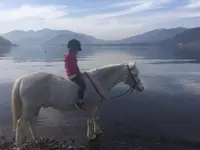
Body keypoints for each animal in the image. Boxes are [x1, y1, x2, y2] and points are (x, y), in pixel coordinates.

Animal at [11, 61, 144, 149]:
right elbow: (90, 121)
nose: (142, 88)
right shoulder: (91, 107)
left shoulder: (95, 106)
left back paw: (37, 139)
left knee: (32, 122)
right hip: (30, 107)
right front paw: (91, 136)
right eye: (135, 74)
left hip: (35, 107)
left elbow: (96, 118)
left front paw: (98, 131)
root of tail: (23, 78)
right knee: (21, 123)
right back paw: (19, 145)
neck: (98, 80)